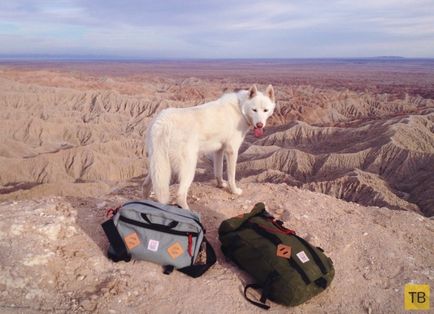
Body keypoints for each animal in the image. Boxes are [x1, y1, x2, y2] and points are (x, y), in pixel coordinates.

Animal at [144, 84, 276, 210]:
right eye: (254, 110)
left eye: (265, 110)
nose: (260, 125)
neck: (240, 108)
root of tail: (162, 123)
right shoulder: (231, 151)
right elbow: (232, 176)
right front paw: (234, 191)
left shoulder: (219, 150)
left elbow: (218, 171)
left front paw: (221, 184)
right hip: (188, 167)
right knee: (180, 195)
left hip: (158, 166)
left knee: (145, 185)